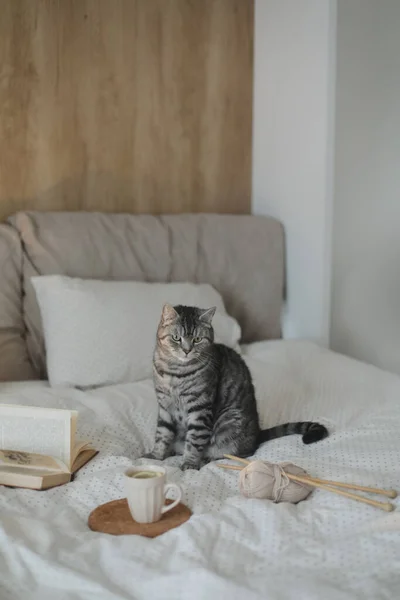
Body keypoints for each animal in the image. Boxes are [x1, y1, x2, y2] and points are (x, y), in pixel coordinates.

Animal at [147, 304, 328, 468]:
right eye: (176, 338)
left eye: (197, 339)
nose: (187, 350)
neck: (175, 373)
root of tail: (257, 433)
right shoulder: (164, 407)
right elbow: (162, 435)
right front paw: (155, 456)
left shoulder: (200, 409)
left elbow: (194, 441)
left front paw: (190, 463)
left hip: (229, 421)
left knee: (239, 453)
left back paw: (207, 458)